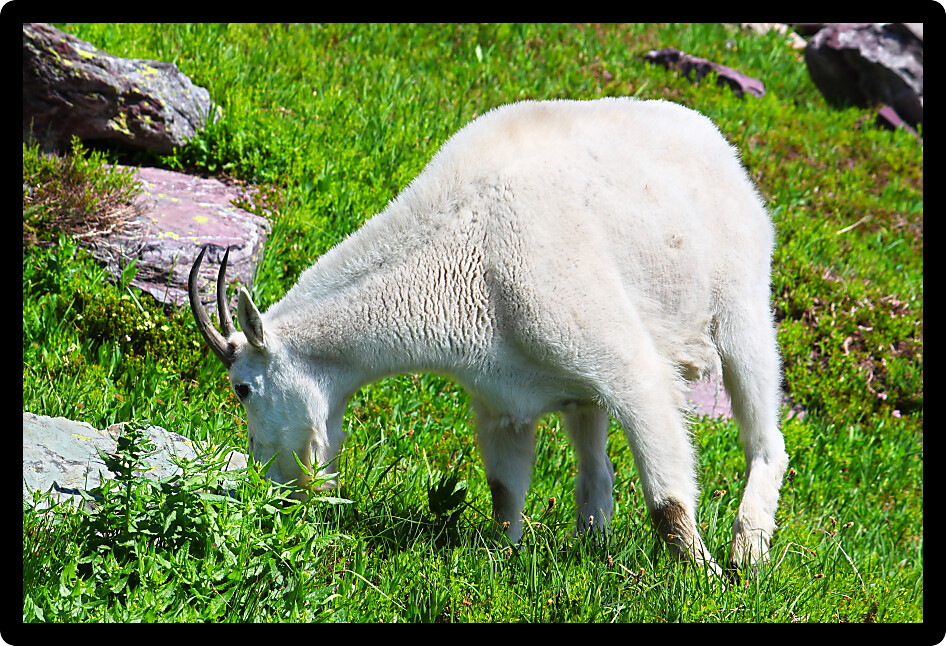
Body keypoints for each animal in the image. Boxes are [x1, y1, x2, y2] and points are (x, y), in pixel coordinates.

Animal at [189, 97, 789, 574]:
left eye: (242, 388)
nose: (271, 487)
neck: (458, 252)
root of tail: (716, 141)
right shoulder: (502, 399)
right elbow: (505, 493)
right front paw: (499, 562)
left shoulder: (629, 366)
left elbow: (667, 499)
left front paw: (706, 578)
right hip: (584, 391)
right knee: (595, 466)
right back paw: (590, 547)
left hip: (742, 304)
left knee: (765, 434)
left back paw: (749, 552)